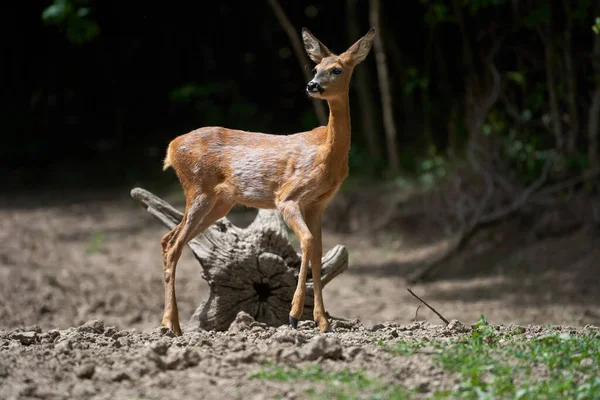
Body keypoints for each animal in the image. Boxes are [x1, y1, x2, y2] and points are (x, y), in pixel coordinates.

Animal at [162, 26, 372, 336]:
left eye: (336, 69)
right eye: (315, 67)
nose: (312, 85)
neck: (327, 153)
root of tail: (172, 147)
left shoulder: (318, 203)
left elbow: (318, 252)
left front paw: (324, 323)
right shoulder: (287, 196)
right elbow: (308, 242)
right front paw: (295, 316)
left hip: (219, 202)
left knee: (167, 239)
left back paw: (173, 324)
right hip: (198, 189)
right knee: (175, 244)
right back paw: (171, 325)